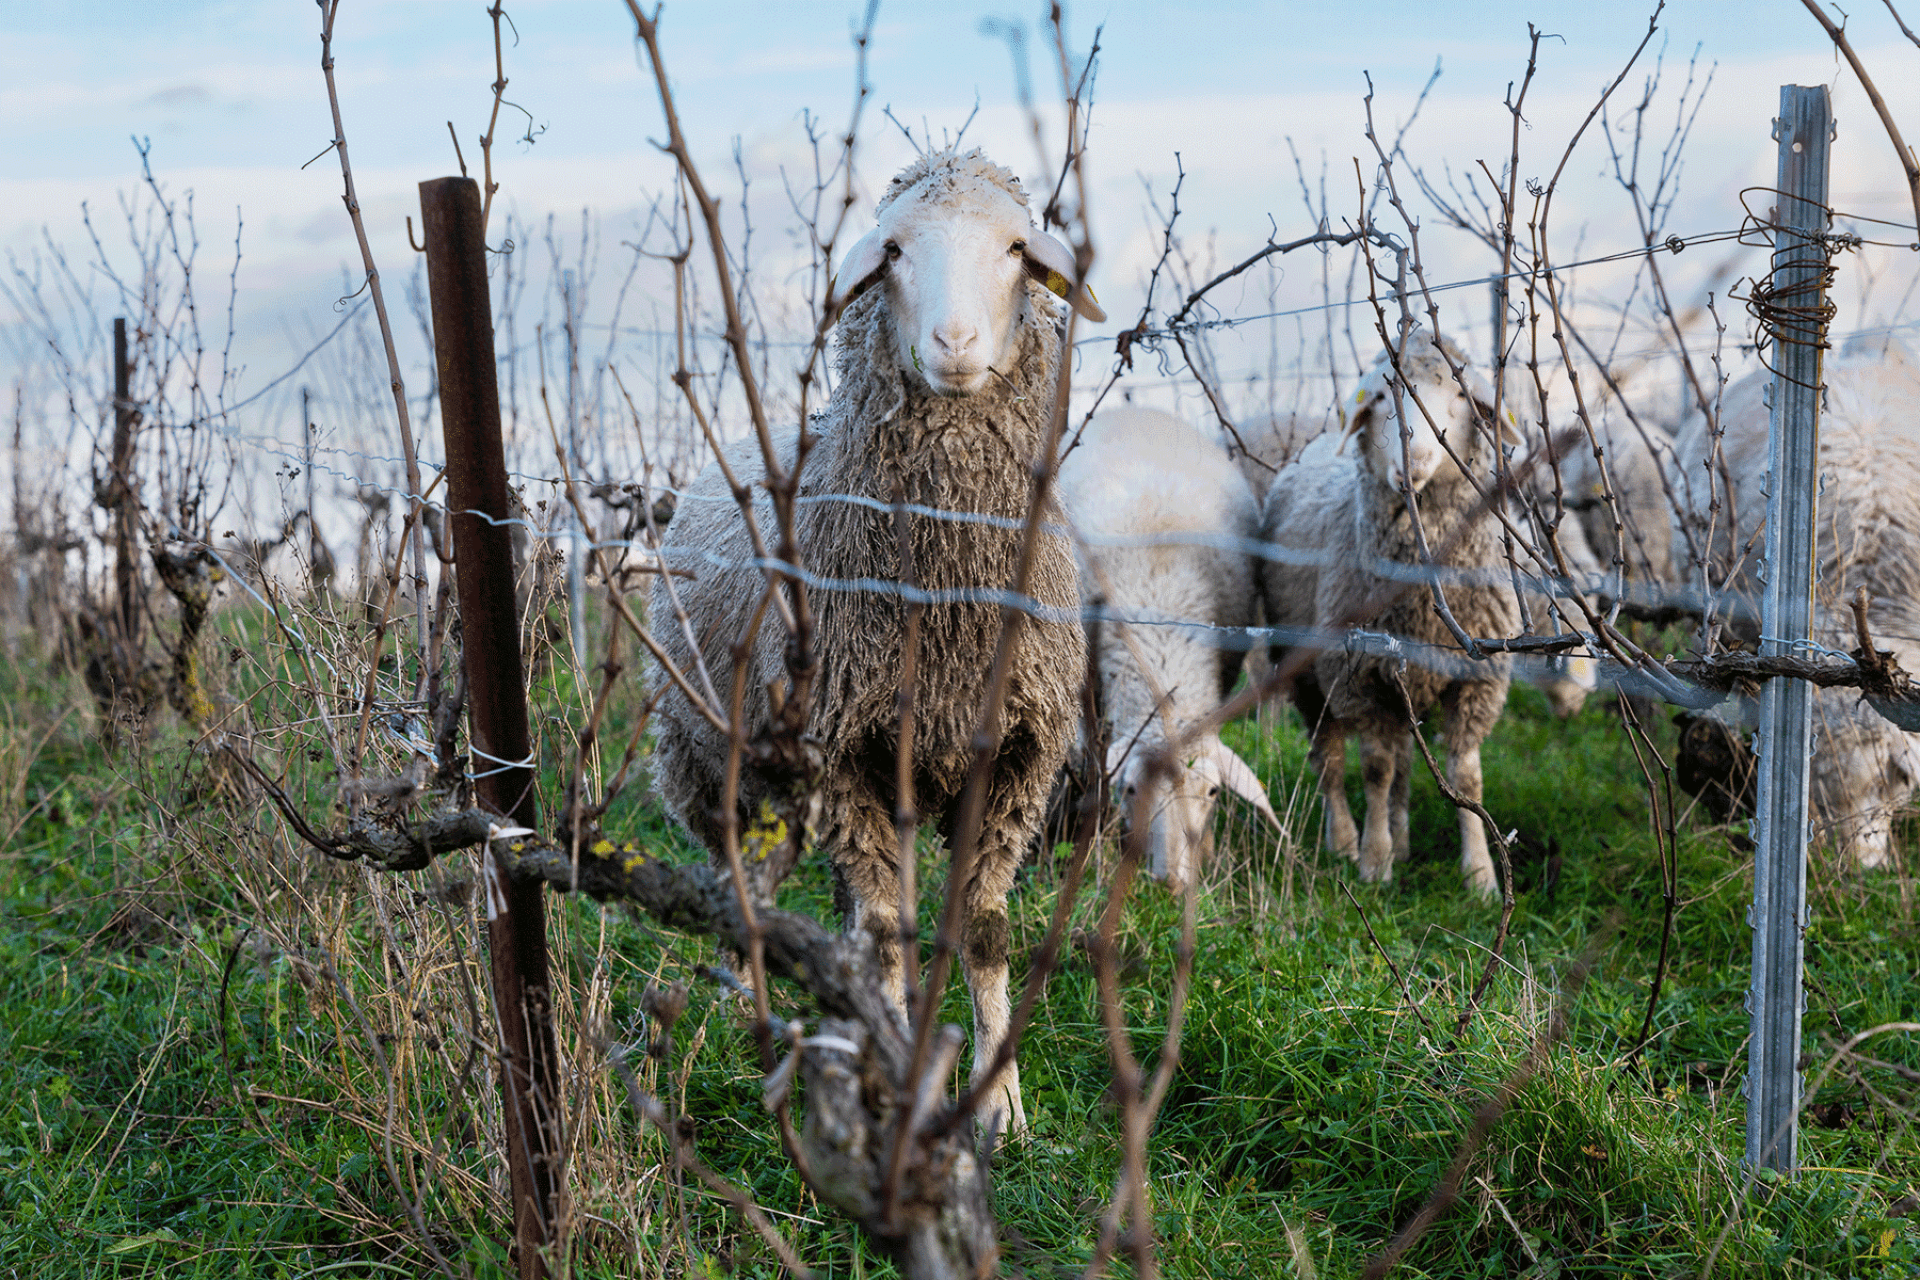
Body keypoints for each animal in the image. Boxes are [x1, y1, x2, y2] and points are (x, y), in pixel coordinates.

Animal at [645, 144, 1105, 1136]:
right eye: (892, 251)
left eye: (1017, 247)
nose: (956, 344)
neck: (946, 599)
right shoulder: (849, 751)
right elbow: (892, 940)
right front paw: (899, 1088)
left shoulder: (1016, 755)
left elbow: (981, 930)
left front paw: (1001, 1106)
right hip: (703, 760)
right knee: (736, 880)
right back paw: (742, 1007)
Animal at [1259, 328, 1512, 901]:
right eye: (1377, 398)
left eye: (1460, 393)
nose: (1411, 458)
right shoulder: (1359, 678)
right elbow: (1374, 769)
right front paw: (1374, 864)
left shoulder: (1476, 678)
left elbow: (1466, 779)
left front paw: (1480, 878)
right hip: (1307, 675)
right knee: (1330, 760)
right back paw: (1344, 841)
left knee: (1404, 762)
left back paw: (1403, 837)